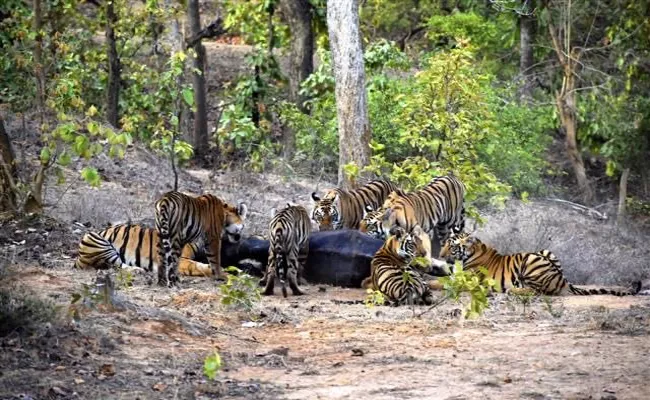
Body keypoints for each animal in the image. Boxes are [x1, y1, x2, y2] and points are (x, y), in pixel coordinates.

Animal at [438, 231, 640, 296]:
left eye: (452, 247)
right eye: (444, 244)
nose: (440, 255)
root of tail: (562, 280)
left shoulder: (466, 279)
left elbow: (441, 282)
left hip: (530, 261)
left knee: (538, 291)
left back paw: (513, 291)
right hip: (545, 252)